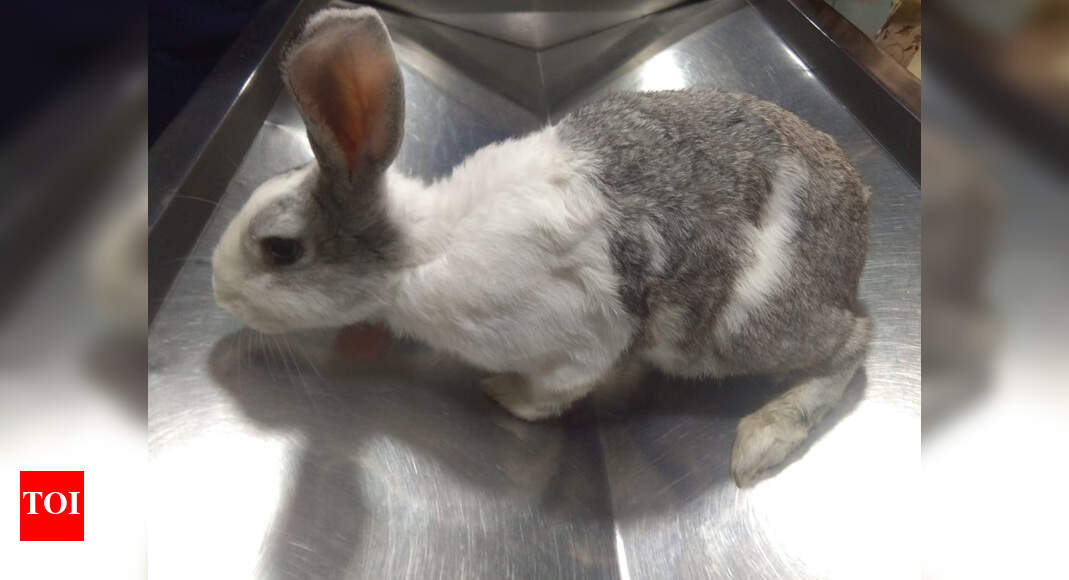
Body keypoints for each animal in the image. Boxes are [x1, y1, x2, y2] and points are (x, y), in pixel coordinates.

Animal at [212, 7, 871, 487]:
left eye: (279, 249)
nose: (218, 289)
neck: (421, 255)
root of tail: (857, 230)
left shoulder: (581, 340)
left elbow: (553, 392)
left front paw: (502, 394)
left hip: (737, 329)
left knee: (854, 342)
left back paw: (763, 438)